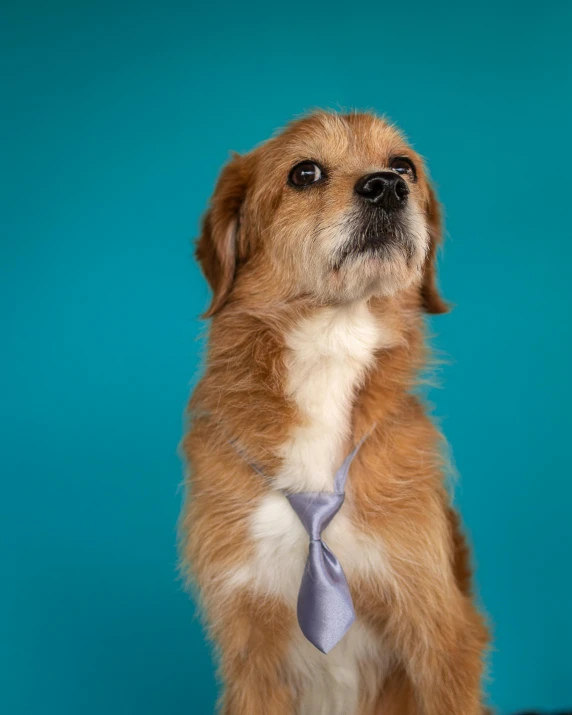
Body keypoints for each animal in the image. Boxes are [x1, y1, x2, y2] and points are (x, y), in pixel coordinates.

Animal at [181, 112, 490, 715]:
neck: (330, 344)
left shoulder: (439, 634)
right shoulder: (250, 650)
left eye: (404, 166)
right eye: (304, 172)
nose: (387, 187)